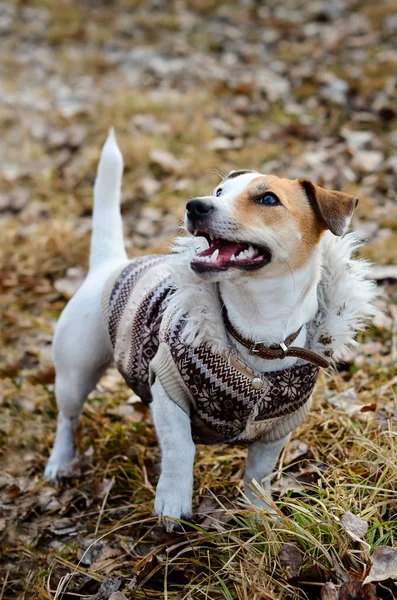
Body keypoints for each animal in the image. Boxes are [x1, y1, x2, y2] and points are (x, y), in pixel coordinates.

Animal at [44, 129, 376, 528]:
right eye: (219, 192)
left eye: (268, 198)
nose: (195, 205)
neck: (255, 334)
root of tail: (109, 265)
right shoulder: (168, 389)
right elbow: (180, 447)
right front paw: (173, 501)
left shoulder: (278, 429)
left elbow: (259, 474)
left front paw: (259, 514)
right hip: (75, 374)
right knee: (67, 417)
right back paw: (60, 461)